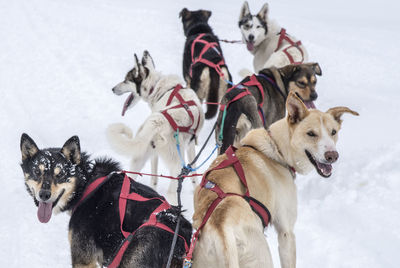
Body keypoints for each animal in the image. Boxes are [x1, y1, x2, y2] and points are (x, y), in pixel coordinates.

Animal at [192, 91, 358, 266]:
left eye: (333, 132)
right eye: (311, 133)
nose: (332, 156)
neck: (277, 150)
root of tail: (221, 229)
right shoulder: (286, 232)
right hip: (262, 256)